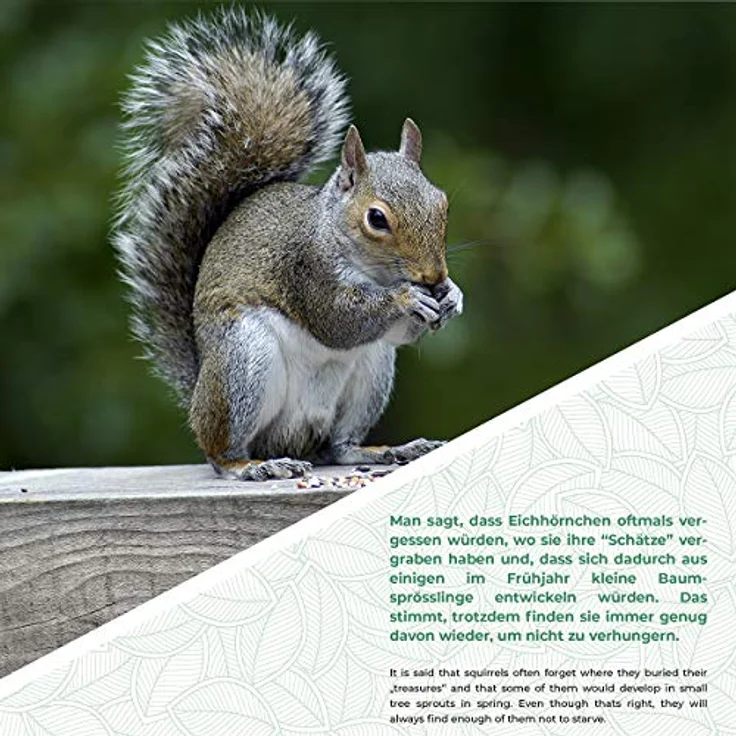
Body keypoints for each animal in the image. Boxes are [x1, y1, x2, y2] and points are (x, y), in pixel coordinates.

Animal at [113, 8, 464, 481]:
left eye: (441, 202)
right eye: (376, 218)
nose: (434, 276)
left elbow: (398, 333)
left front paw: (452, 296)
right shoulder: (305, 267)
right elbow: (337, 320)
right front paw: (407, 298)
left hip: (371, 372)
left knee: (338, 445)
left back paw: (380, 451)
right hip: (243, 362)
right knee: (220, 449)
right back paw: (249, 466)